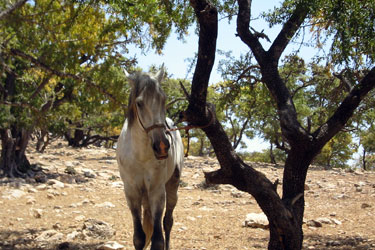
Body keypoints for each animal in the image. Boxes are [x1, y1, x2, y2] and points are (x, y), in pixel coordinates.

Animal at [116, 67, 184, 250]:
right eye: (139, 103)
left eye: (163, 99)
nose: (162, 146)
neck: (140, 156)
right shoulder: (131, 191)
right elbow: (139, 238)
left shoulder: (156, 191)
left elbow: (158, 239)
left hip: (172, 187)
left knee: (167, 222)